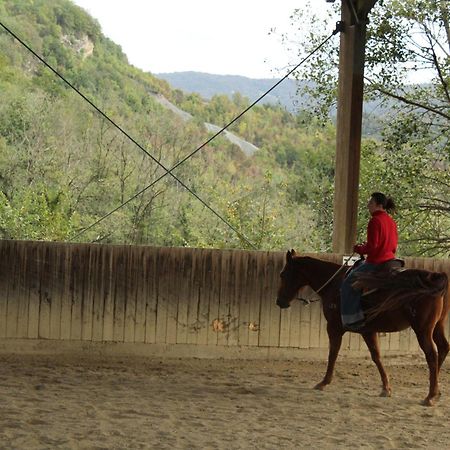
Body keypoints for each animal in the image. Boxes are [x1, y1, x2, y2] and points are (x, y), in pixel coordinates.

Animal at [276, 251, 448, 406]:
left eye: (283, 274)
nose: (279, 302)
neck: (333, 284)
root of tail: (434, 278)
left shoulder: (333, 327)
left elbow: (333, 353)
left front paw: (324, 382)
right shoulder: (367, 331)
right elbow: (376, 356)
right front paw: (386, 388)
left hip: (423, 330)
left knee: (431, 355)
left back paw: (430, 396)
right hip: (437, 326)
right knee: (443, 348)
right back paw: (437, 390)